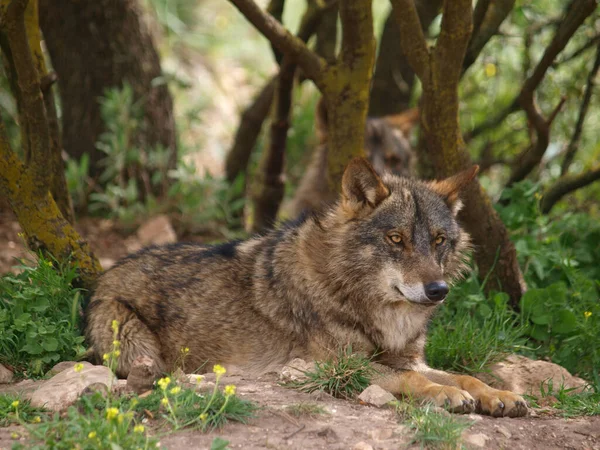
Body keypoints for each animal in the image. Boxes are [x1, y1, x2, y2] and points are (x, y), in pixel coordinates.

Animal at [86, 158, 528, 418]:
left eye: (438, 240)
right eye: (396, 239)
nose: (438, 290)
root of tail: (107, 273)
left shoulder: (409, 359)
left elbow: (464, 376)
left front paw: (497, 395)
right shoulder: (339, 367)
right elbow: (417, 382)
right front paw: (445, 395)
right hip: (136, 346)